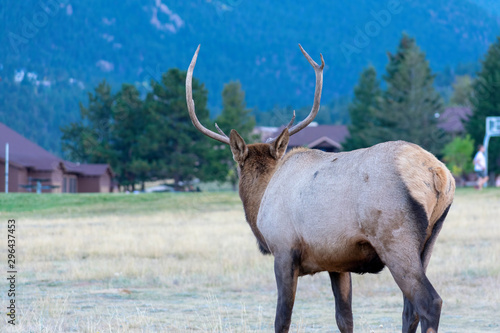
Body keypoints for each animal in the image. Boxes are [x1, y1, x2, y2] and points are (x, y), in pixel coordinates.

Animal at [186, 44, 456, 332]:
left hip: (395, 238)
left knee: (429, 301)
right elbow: (344, 318)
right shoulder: (337, 262)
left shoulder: (283, 250)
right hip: (429, 241)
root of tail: (439, 174)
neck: (260, 202)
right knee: (409, 309)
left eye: (238, 167)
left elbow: (282, 319)